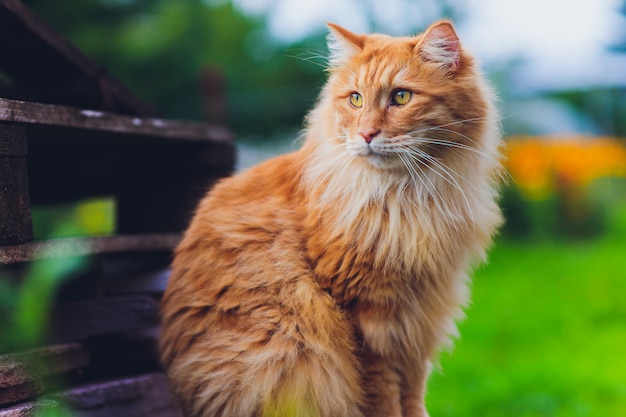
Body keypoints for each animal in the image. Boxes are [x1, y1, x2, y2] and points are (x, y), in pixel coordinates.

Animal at [160, 20, 502, 416]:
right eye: (355, 99)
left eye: (401, 97)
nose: (366, 134)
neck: (406, 199)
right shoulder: (367, 320)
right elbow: (385, 398)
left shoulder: (420, 320)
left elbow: (414, 396)